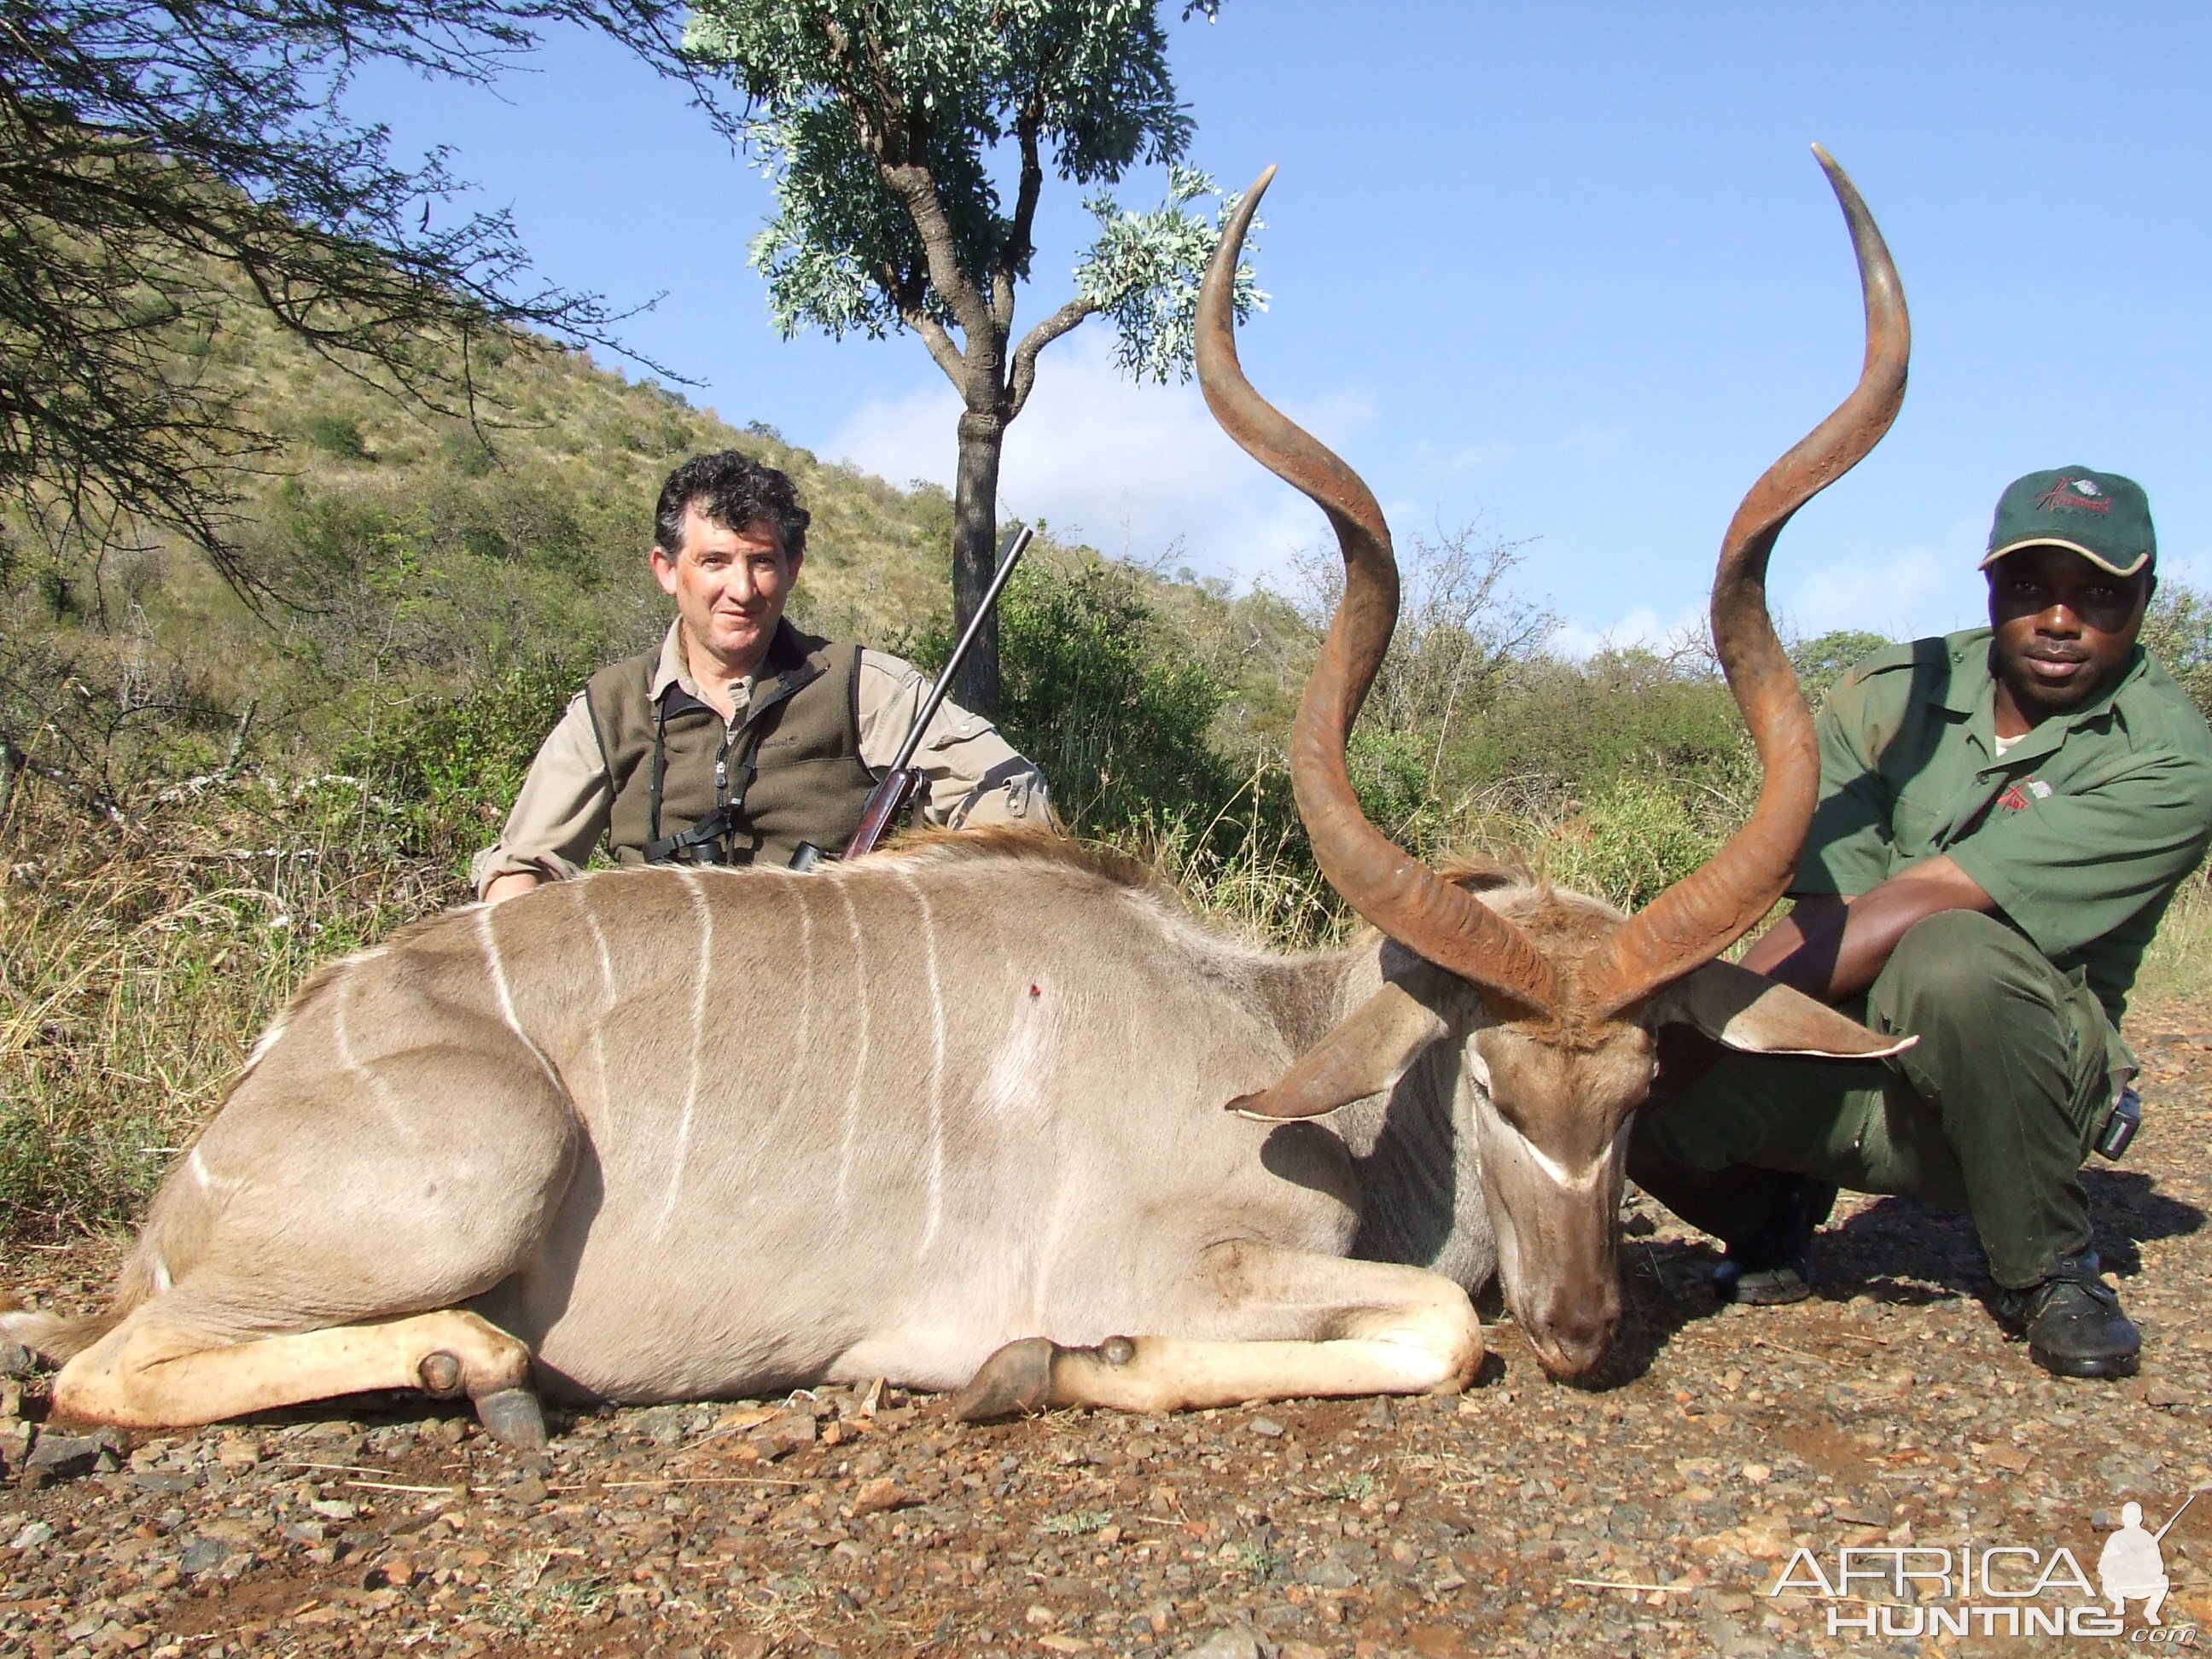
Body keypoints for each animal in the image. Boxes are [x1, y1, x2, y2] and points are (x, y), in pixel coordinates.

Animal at [13, 155, 1902, 1451]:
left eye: (1643, 1082)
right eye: (1497, 1083)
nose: (1585, 1331)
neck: (1267, 1042)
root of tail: (242, 1106)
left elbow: (1438, 1319)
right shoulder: (1172, 1258)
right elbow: (1436, 1321)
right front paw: (1037, 1362)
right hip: (475, 1169)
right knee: (103, 1367)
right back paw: (476, 1364)